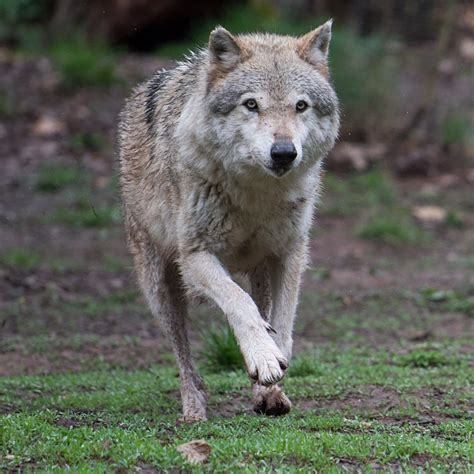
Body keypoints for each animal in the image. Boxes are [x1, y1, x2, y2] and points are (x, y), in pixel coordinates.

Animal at [118, 21, 340, 422]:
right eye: (251, 104)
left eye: (300, 106)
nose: (284, 152)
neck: (256, 193)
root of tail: (145, 86)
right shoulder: (195, 256)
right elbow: (239, 303)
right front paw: (263, 357)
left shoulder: (289, 254)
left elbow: (283, 323)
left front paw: (272, 368)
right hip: (160, 288)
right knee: (184, 358)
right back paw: (194, 409)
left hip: (259, 270)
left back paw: (269, 396)